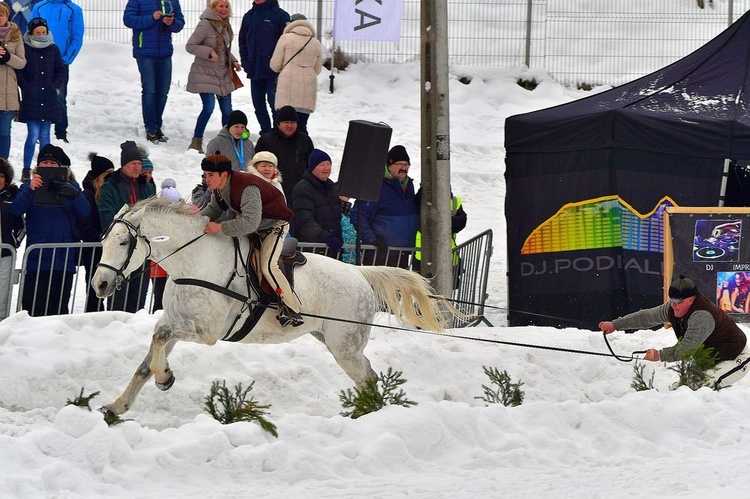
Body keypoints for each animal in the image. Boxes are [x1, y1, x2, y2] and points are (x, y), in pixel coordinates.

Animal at [89, 197, 452, 416]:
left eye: (124, 242)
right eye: (104, 241)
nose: (99, 285)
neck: (191, 260)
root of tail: (360, 273)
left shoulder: (206, 332)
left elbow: (160, 340)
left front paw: (164, 377)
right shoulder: (175, 321)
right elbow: (150, 352)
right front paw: (119, 405)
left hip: (344, 346)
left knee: (367, 377)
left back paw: (363, 413)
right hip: (333, 340)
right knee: (369, 376)